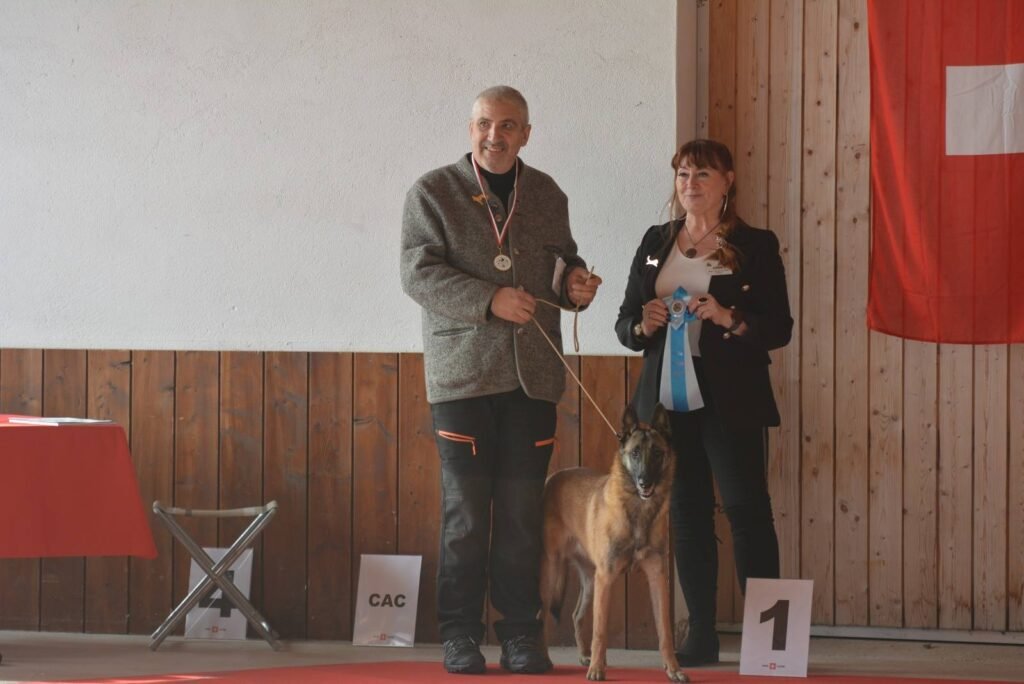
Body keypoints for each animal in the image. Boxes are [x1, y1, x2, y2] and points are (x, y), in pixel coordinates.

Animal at [540, 403, 687, 682]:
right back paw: (544, 659)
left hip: (591, 582)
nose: (645, 482)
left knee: (576, 615)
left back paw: (584, 656)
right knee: (542, 614)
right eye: (635, 453)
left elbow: (664, 631)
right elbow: (600, 631)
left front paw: (673, 669)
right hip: (555, 574)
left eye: (658, 453)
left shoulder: (657, 578)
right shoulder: (607, 578)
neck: (637, 511)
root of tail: (551, 478)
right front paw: (597, 669)